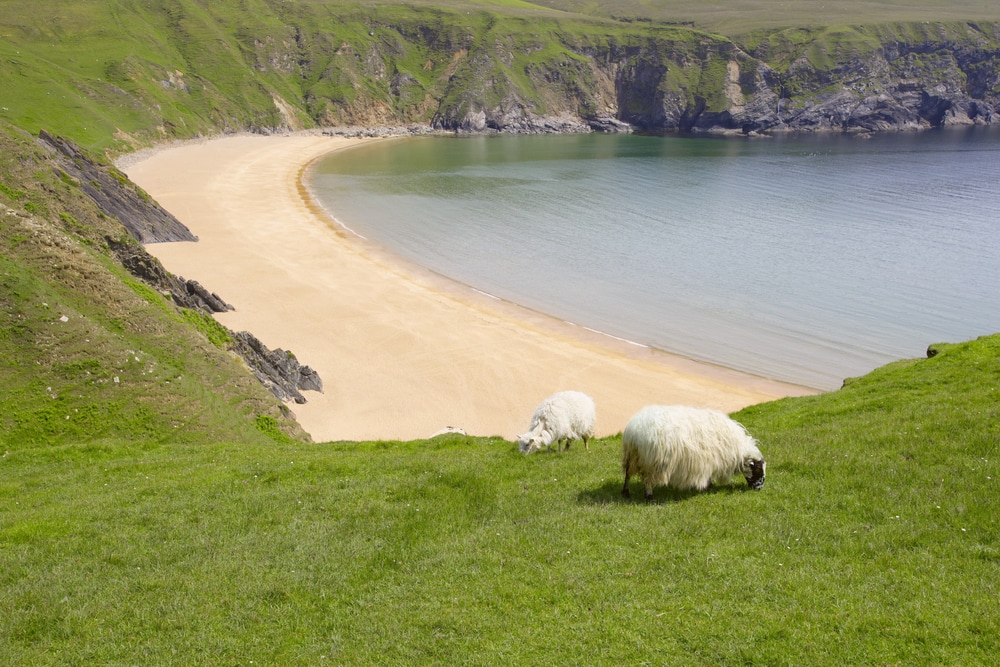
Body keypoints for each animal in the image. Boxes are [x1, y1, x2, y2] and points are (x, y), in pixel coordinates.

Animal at [620, 402, 768, 500]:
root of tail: (633, 431)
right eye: (758, 469)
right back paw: (649, 496)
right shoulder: (711, 459)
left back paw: (626, 493)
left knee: (627, 475)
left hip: (631, 457)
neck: (739, 450)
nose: (759, 488)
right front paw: (709, 486)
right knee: (647, 479)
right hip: (651, 461)